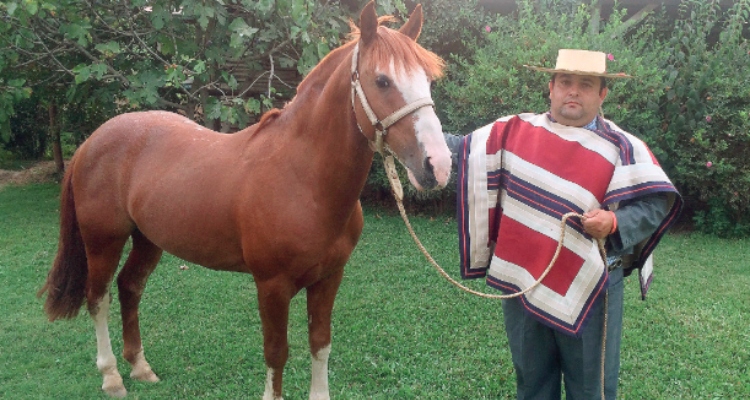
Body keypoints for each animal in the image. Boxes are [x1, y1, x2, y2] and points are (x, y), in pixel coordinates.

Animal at [38, 2, 452, 396]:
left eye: (428, 80)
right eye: (382, 80)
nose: (438, 165)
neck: (304, 180)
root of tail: (92, 141)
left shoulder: (328, 278)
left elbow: (320, 344)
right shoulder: (272, 286)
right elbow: (276, 353)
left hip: (147, 239)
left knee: (130, 287)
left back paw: (140, 367)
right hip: (103, 241)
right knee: (98, 298)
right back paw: (111, 377)